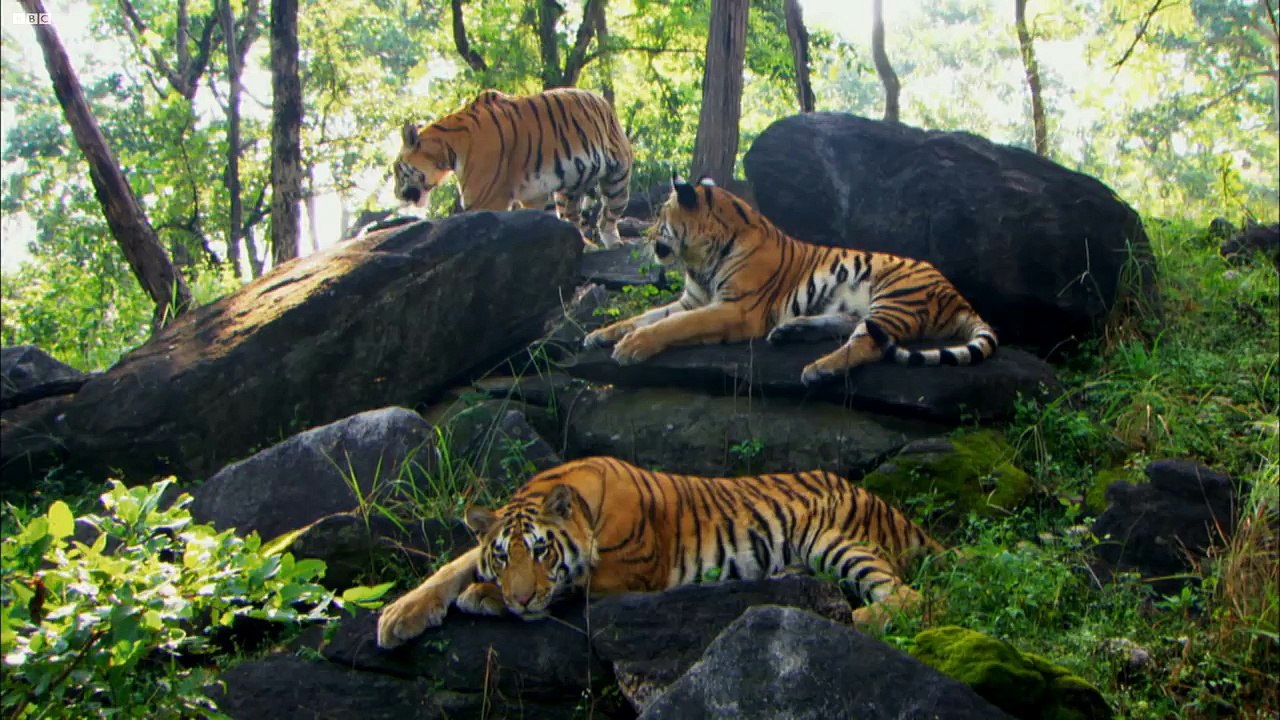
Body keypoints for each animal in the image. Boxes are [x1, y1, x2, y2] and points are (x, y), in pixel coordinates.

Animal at [375, 456, 942, 649]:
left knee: (910, 597)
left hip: (835, 538)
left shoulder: (628, 575)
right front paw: (399, 616)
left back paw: (850, 617)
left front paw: (482, 597)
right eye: (503, 555)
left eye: (540, 553)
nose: (518, 599)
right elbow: (450, 568)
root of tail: (890, 506)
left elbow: (563, 589)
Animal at [394, 87, 634, 248]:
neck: (448, 149)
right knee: (572, 217)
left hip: (618, 178)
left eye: (397, 170)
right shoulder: (532, 196)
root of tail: (602, 101)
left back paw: (614, 243)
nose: (396, 194)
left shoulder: (485, 200)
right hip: (568, 189)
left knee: (609, 216)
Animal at [581, 175, 999, 385]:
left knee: (868, 345)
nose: (647, 234)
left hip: (895, 297)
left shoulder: (735, 309)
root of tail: (959, 297)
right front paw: (600, 335)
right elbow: (645, 317)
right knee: (848, 326)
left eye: (661, 215)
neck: (699, 258)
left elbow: (676, 326)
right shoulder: (692, 300)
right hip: (861, 308)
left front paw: (631, 348)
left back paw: (818, 369)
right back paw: (789, 331)